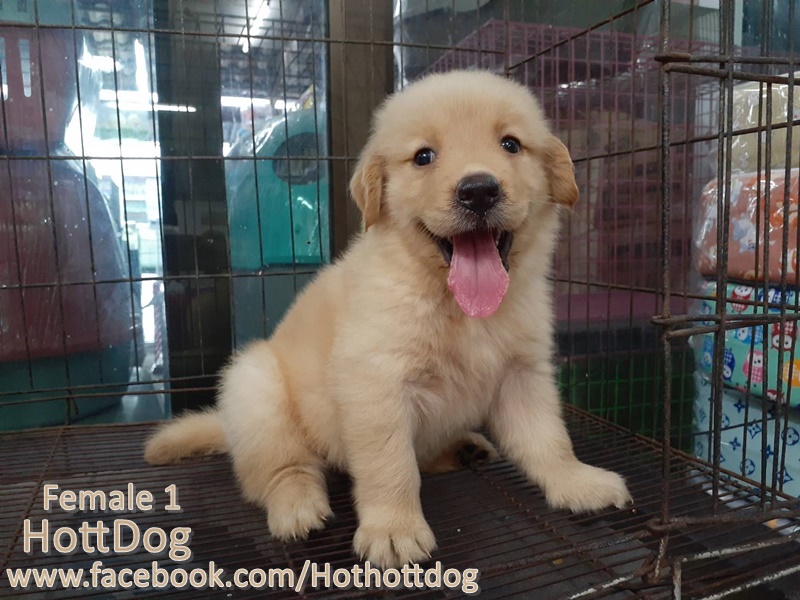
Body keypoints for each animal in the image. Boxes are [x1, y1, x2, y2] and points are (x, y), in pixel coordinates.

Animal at [144, 70, 631, 568]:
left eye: (511, 144)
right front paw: (394, 528)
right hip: (256, 389)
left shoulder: (523, 374)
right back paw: (297, 505)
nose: (479, 190)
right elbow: (390, 466)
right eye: (423, 157)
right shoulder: (376, 383)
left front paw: (577, 482)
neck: (456, 303)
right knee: (281, 469)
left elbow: (549, 440)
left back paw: (463, 449)